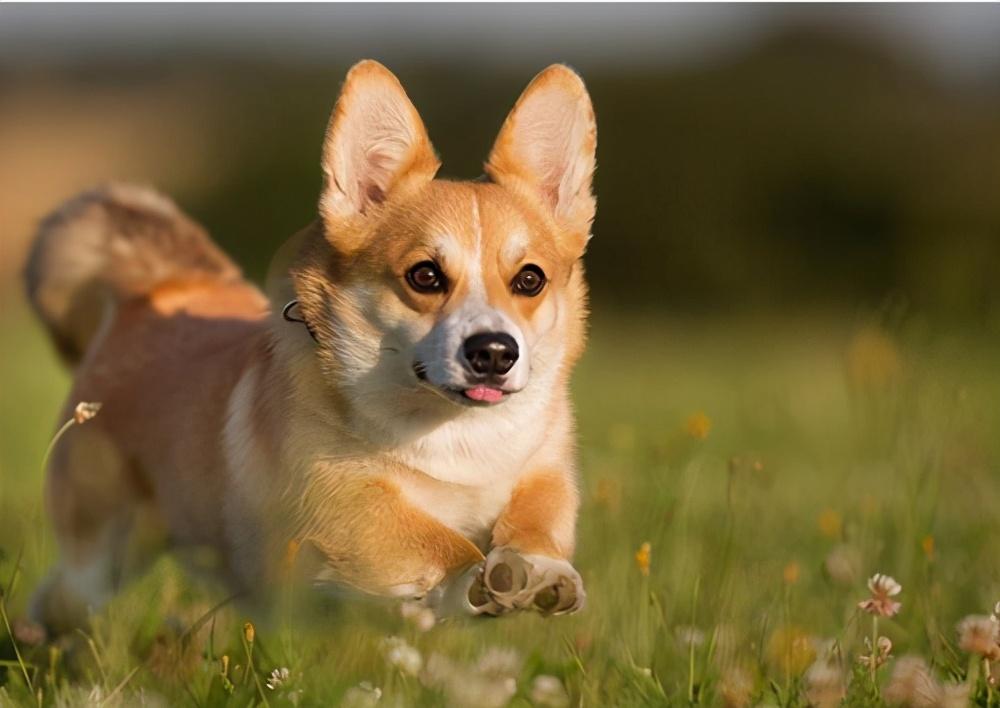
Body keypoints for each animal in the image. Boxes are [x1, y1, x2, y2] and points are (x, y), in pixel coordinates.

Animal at [25, 60, 592, 636]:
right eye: (425, 275)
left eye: (530, 280)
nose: (495, 353)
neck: (455, 434)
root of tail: (159, 287)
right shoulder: (341, 503)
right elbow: (437, 541)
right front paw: (478, 576)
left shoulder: (545, 470)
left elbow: (538, 518)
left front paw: (540, 570)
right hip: (103, 551)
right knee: (63, 595)